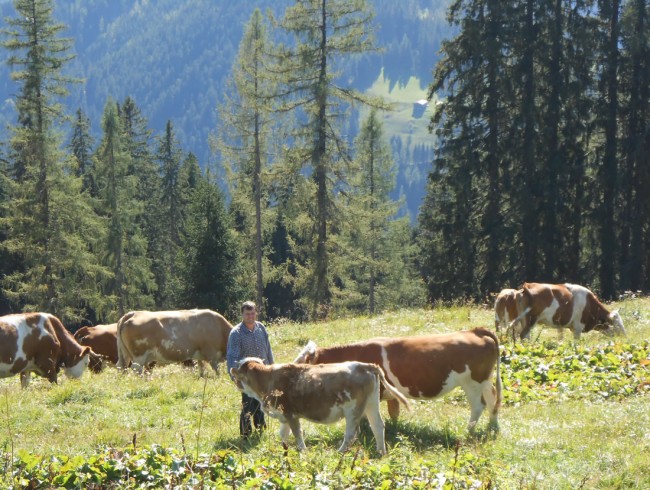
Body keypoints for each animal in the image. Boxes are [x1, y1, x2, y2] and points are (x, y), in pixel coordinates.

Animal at [230, 356, 408, 456]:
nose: (234, 380)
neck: (268, 379)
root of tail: (365, 365)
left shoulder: (291, 414)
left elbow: (297, 434)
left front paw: (303, 452)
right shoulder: (283, 417)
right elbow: (284, 435)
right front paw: (284, 451)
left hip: (353, 411)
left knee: (351, 433)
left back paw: (339, 452)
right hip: (371, 405)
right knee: (378, 426)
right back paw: (381, 452)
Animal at [294, 330, 502, 428]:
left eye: (302, 362)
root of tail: (474, 331)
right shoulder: (390, 394)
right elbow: (394, 412)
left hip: (472, 383)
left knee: (479, 405)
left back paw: (468, 430)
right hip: (485, 380)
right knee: (492, 399)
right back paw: (492, 425)